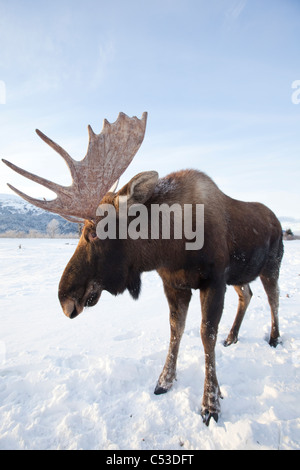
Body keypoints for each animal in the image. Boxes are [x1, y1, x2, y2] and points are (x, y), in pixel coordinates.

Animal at [2, 112, 284, 424]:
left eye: (94, 232)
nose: (65, 298)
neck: (172, 247)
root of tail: (278, 221)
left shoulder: (213, 280)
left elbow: (206, 335)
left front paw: (211, 403)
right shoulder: (173, 284)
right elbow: (176, 329)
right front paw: (165, 380)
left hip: (271, 265)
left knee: (272, 297)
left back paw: (274, 337)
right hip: (239, 275)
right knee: (247, 294)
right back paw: (233, 336)